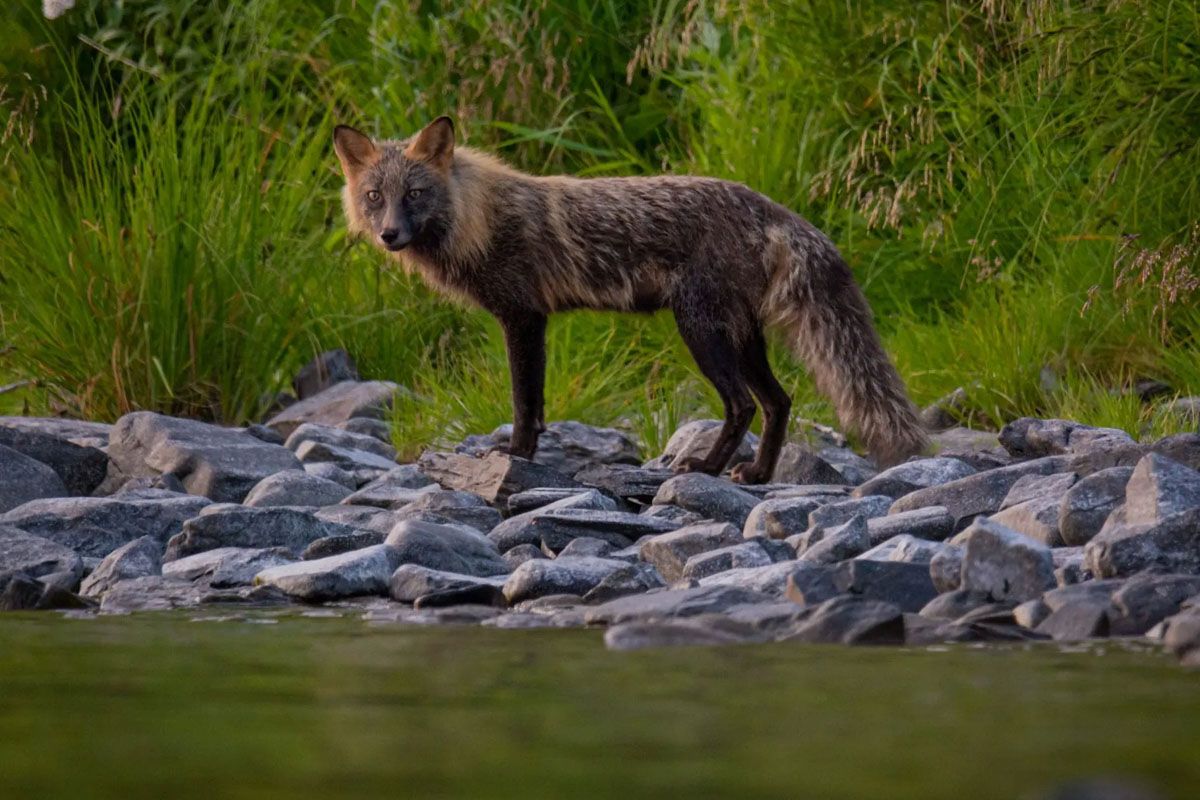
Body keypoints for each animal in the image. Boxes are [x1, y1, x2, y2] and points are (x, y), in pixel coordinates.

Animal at [333, 116, 928, 484]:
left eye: (415, 195)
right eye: (374, 196)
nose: (388, 235)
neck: (479, 218)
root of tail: (772, 208)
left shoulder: (523, 316)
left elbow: (525, 402)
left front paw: (516, 455)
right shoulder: (532, 320)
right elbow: (537, 404)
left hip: (700, 330)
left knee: (742, 404)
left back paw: (706, 469)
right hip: (741, 334)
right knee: (779, 402)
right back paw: (757, 475)